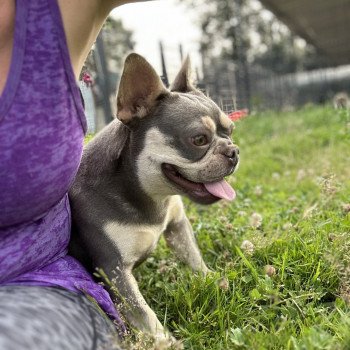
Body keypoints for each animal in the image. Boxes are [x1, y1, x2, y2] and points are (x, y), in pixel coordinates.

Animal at [70, 53, 241, 340]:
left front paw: (210, 278)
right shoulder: (114, 270)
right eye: (199, 139)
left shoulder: (177, 227)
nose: (233, 150)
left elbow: (193, 256)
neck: (149, 194)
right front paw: (166, 342)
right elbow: (143, 313)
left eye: (230, 131)